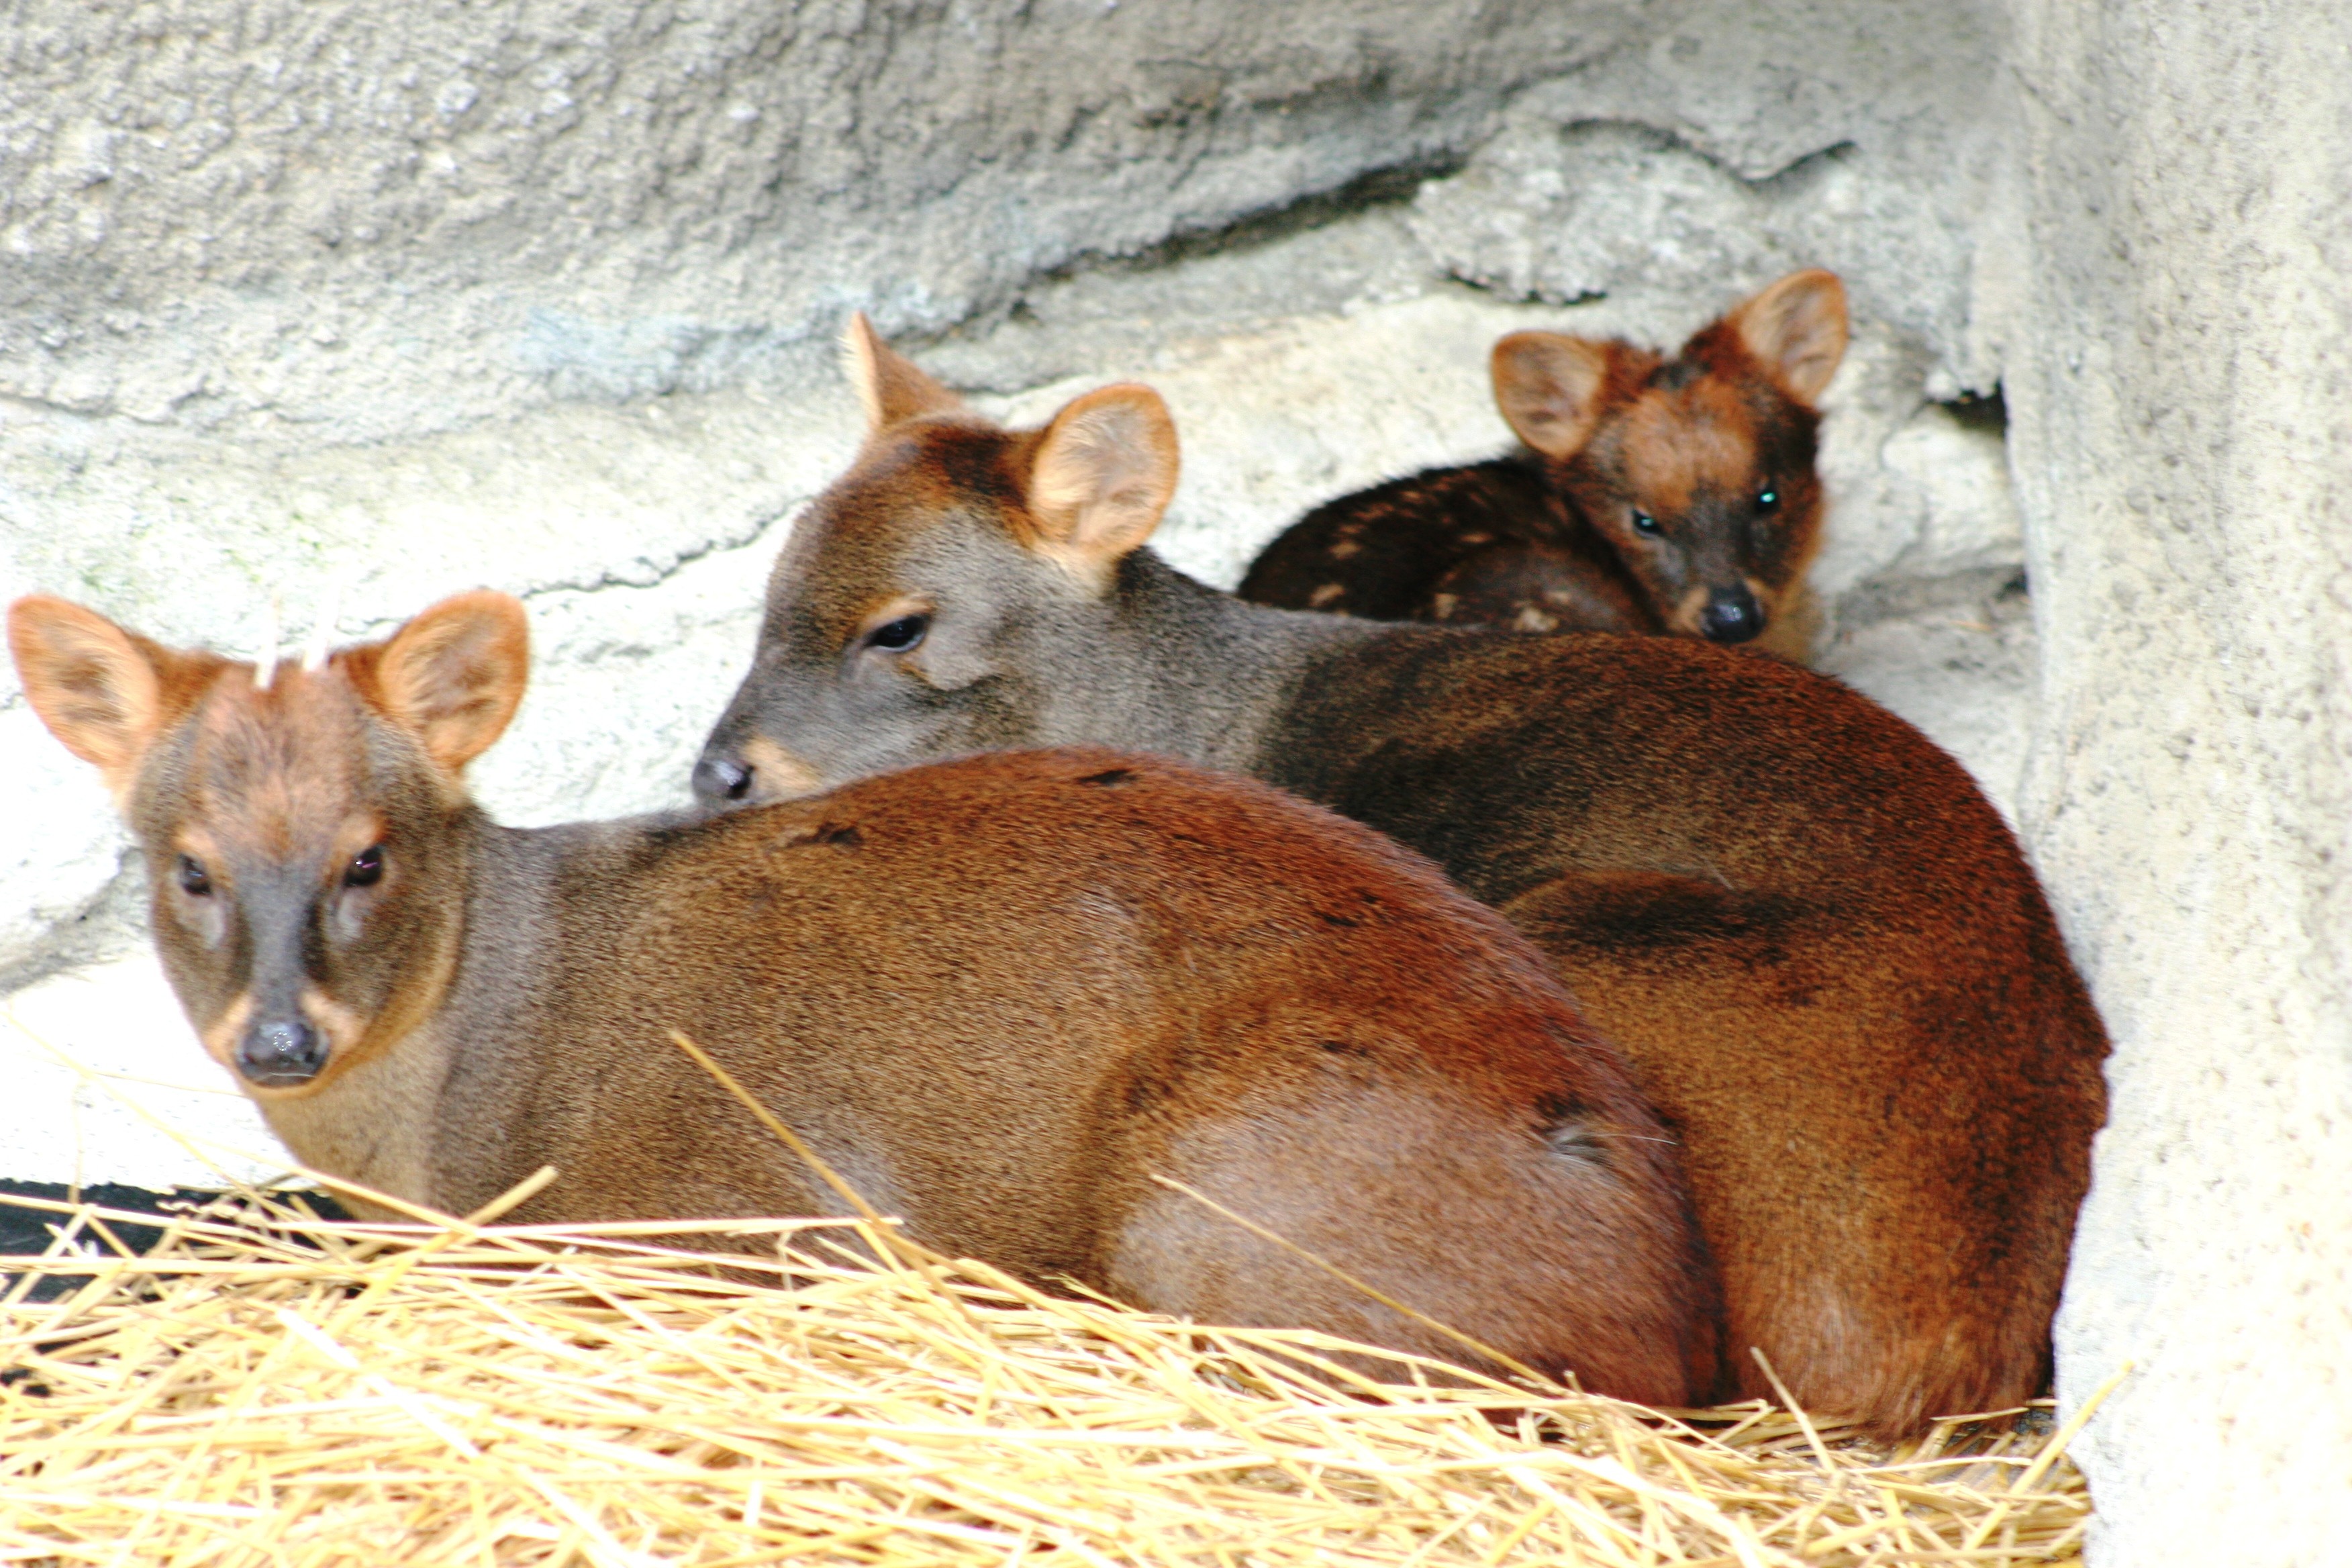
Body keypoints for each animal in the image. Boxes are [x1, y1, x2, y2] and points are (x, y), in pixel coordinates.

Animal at [9, 587, 1721, 1410]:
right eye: (184, 865)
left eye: (369, 854)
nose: (279, 1035)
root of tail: (1664, 1308)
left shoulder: (766, 1205)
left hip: (1223, 1196)